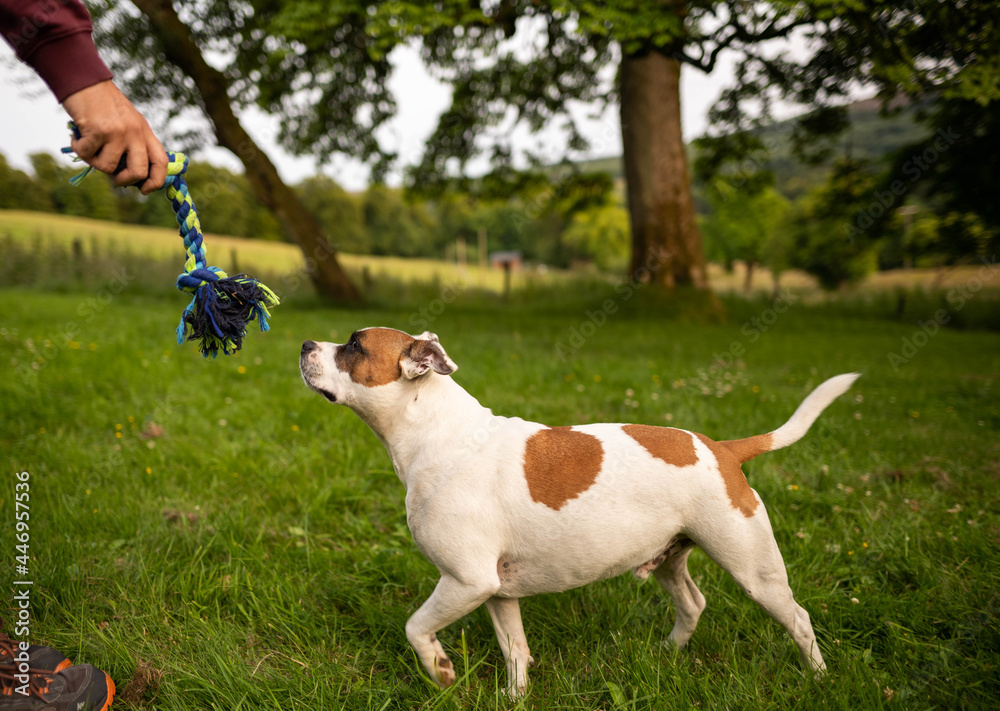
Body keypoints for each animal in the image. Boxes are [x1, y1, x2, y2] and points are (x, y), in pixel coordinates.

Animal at [298, 328, 860, 696]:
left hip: (753, 568)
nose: (304, 346)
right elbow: (516, 652)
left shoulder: (464, 582)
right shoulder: (496, 592)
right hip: (671, 558)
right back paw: (668, 653)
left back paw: (819, 679)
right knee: (693, 603)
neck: (438, 431)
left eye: (354, 346)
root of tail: (723, 449)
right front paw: (514, 699)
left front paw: (439, 670)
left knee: (798, 619)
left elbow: (415, 627)